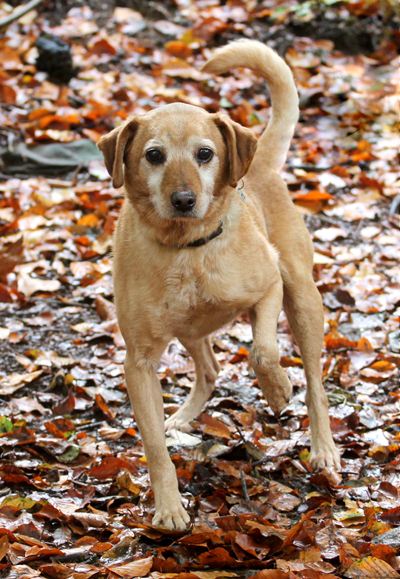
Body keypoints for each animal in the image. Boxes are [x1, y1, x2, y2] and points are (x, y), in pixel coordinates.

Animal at [97, 39, 340, 532]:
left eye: (205, 154)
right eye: (154, 155)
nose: (184, 199)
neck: (187, 249)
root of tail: (257, 156)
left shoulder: (269, 288)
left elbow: (263, 350)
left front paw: (277, 390)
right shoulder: (139, 363)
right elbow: (154, 446)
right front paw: (169, 508)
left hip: (303, 300)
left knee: (315, 384)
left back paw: (323, 448)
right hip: (189, 330)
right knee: (208, 370)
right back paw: (181, 418)